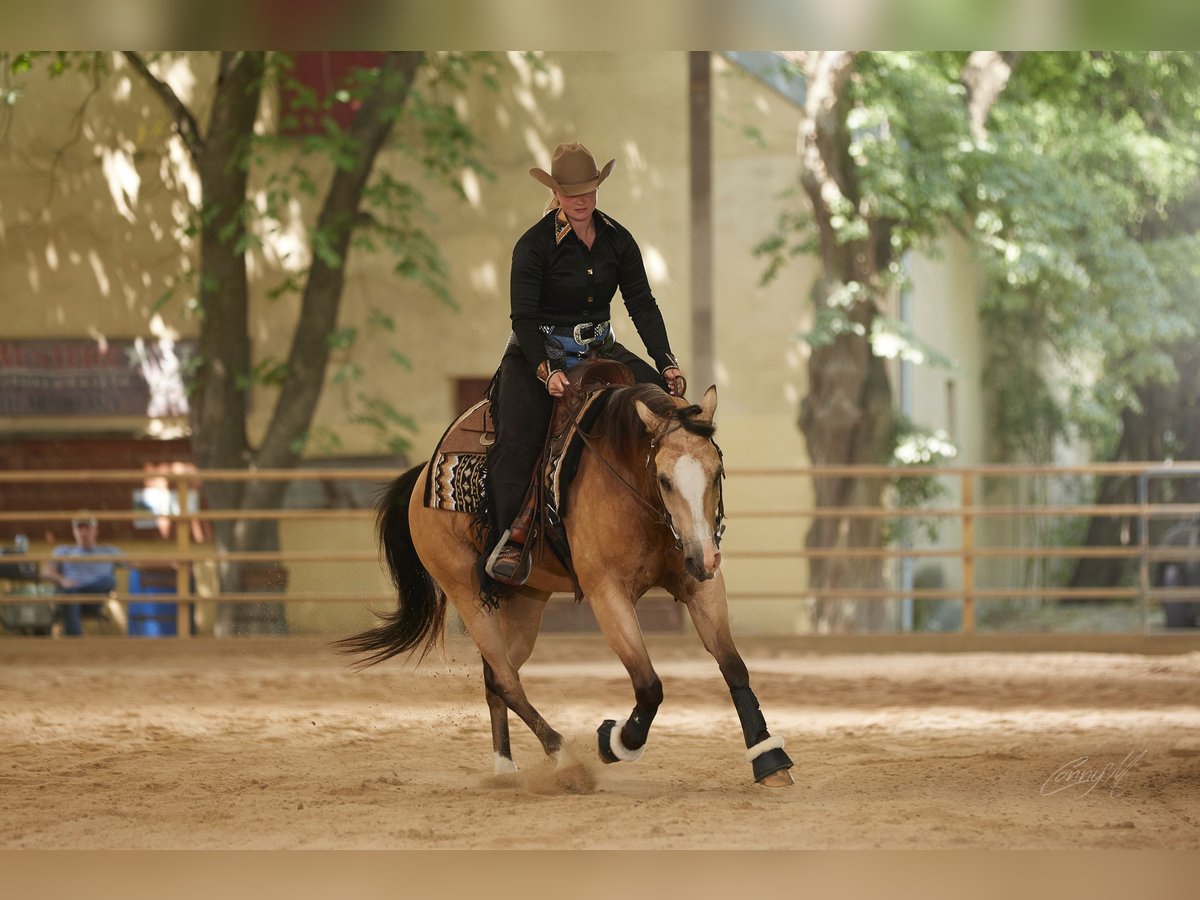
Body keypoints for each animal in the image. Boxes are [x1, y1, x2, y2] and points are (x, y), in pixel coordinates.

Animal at [339, 382, 795, 787]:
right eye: (664, 479)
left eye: (717, 472)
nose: (706, 557)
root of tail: (422, 480)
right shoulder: (607, 593)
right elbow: (648, 684)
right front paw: (615, 742)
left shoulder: (699, 584)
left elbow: (733, 666)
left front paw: (769, 757)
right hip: (466, 593)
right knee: (506, 680)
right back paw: (564, 759)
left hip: (526, 601)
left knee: (497, 675)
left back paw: (505, 768)